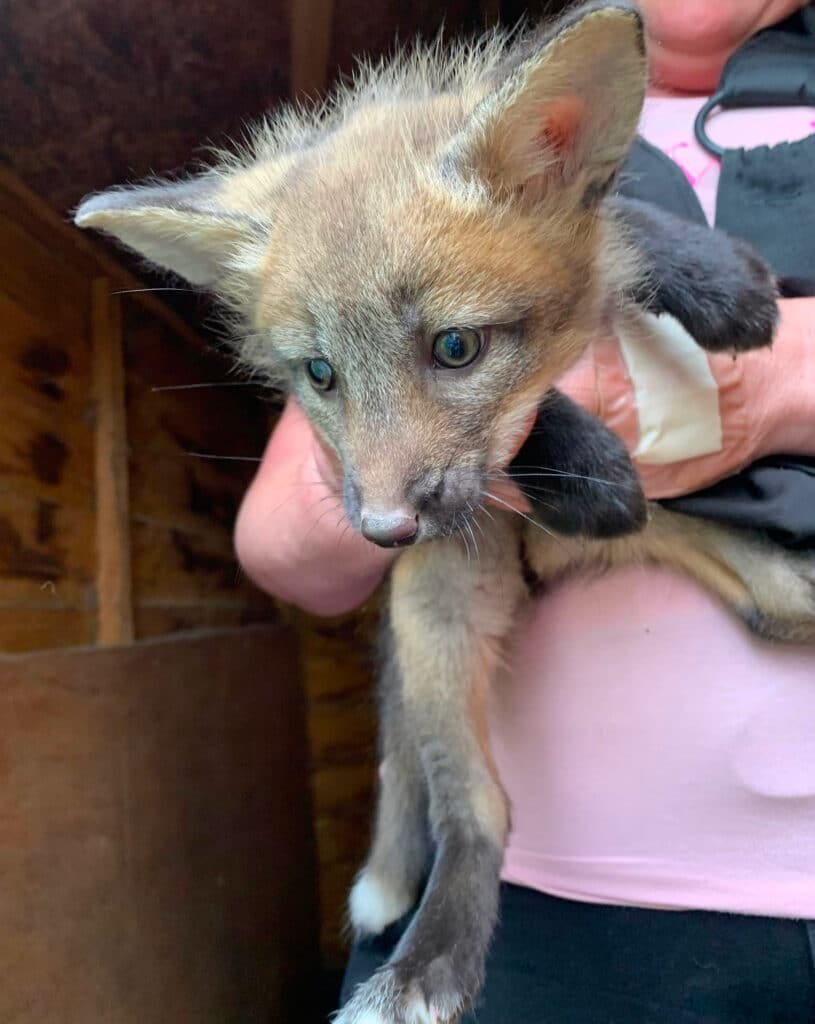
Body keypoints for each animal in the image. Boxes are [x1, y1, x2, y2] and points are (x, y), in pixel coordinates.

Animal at [74, 2, 815, 1021]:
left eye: (455, 348)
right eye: (319, 375)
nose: (384, 532)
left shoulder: (587, 225)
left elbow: (619, 214)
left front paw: (718, 279)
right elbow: (535, 424)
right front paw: (589, 461)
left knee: (776, 606)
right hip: (437, 609)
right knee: (476, 814)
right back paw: (424, 971)